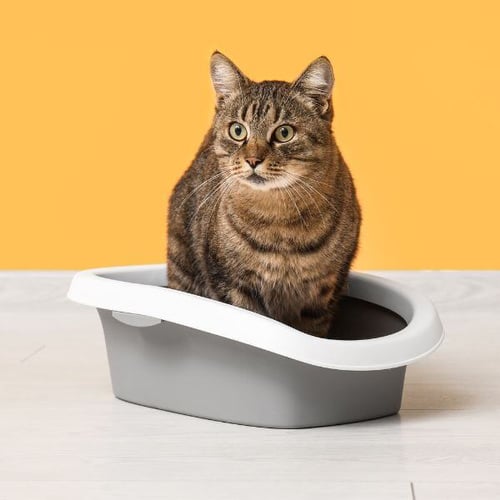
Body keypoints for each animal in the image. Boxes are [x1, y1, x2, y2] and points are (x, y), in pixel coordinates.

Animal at [167, 51, 360, 340]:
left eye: (284, 132)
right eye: (237, 131)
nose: (253, 160)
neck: (279, 220)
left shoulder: (323, 292)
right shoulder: (233, 285)